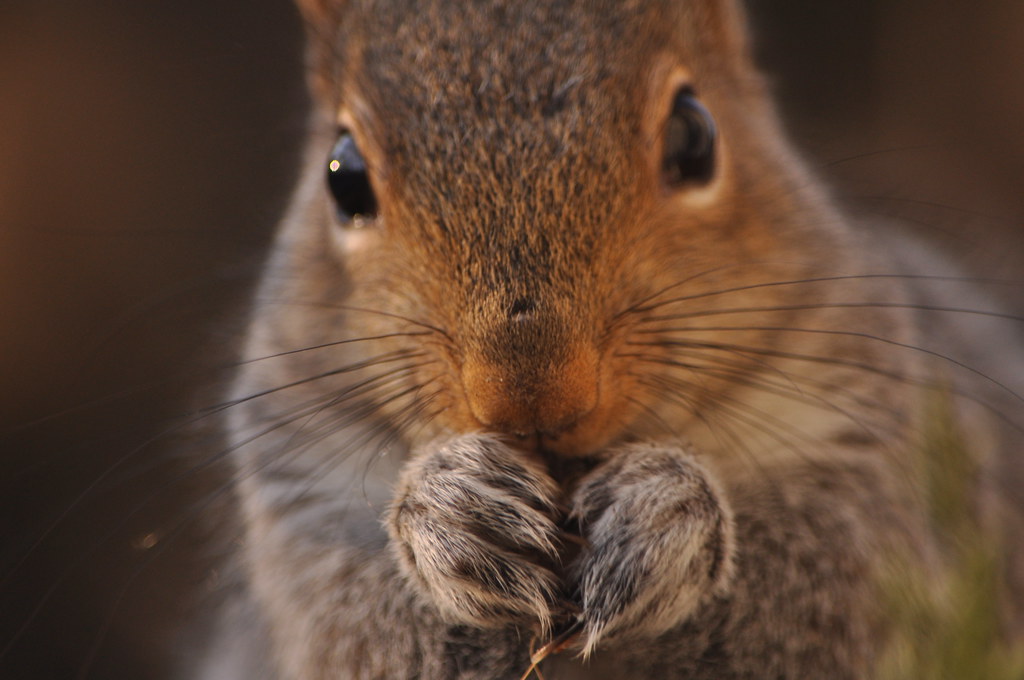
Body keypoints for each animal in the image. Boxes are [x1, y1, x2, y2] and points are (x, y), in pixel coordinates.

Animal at [193, 0, 1024, 678]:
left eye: (695, 134)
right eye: (342, 177)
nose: (529, 394)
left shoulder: (872, 448)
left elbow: (833, 592)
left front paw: (668, 513)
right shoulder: (304, 499)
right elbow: (357, 630)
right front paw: (449, 510)